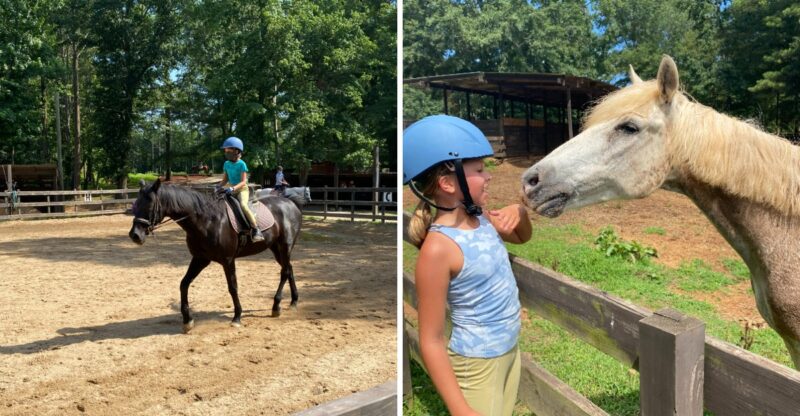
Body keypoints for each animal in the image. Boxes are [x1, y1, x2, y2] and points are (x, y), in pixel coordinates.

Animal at [128, 178, 304, 333]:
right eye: (137, 202)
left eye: (150, 203)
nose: (135, 235)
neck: (206, 220)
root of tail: (290, 204)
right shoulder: (200, 259)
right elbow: (184, 284)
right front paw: (187, 321)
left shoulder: (228, 260)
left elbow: (233, 287)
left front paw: (237, 317)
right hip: (275, 248)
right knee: (289, 269)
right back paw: (294, 301)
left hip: (284, 246)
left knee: (285, 272)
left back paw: (276, 306)